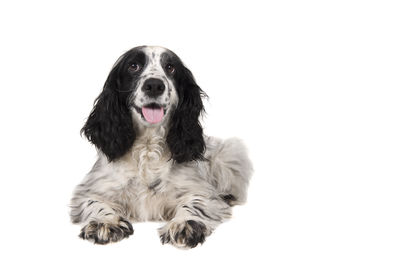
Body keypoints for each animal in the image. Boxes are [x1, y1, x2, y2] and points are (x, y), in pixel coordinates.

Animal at [70, 46, 253, 249]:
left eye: (170, 67)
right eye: (133, 66)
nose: (154, 85)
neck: (147, 146)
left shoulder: (202, 192)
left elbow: (194, 203)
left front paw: (184, 223)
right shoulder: (91, 191)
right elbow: (95, 203)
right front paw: (105, 222)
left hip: (230, 153)